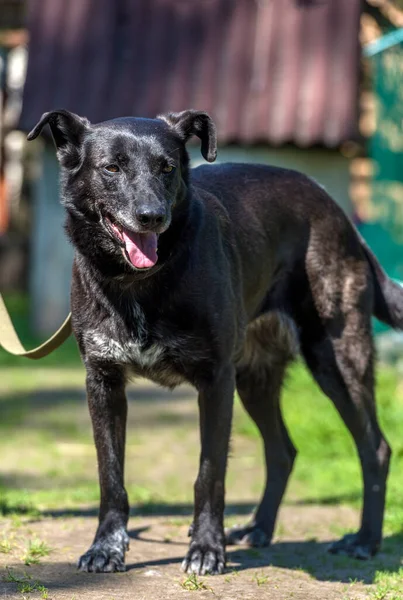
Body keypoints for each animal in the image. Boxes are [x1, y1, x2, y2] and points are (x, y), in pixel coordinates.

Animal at [26, 110, 402, 576]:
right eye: (111, 168)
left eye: (167, 167)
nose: (152, 216)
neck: (139, 284)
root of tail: (338, 211)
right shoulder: (103, 382)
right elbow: (110, 475)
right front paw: (106, 547)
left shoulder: (215, 381)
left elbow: (210, 472)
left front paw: (206, 548)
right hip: (255, 380)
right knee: (283, 451)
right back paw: (259, 528)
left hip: (337, 362)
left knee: (375, 448)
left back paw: (365, 540)